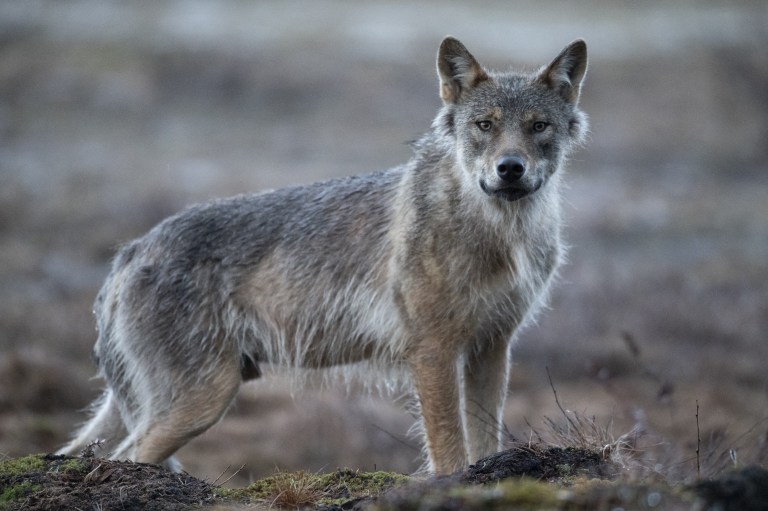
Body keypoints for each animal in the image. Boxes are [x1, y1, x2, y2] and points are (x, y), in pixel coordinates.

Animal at [59, 37, 588, 475]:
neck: (499, 234)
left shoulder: (490, 347)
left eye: (538, 127)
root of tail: (130, 251)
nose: (510, 169)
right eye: (485, 126)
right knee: (123, 455)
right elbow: (448, 449)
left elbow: (484, 439)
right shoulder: (433, 352)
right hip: (201, 402)